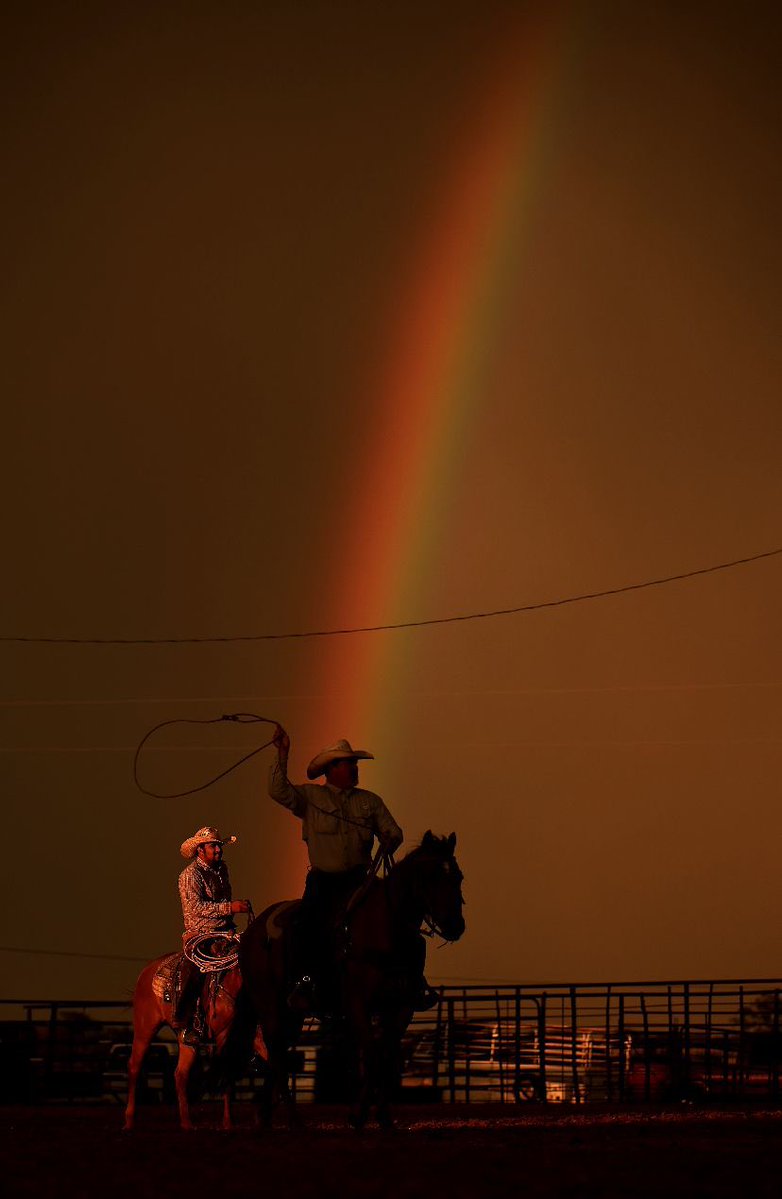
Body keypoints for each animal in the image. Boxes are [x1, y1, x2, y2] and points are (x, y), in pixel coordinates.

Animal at [122, 944, 266, 1131]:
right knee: (134, 1066)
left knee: (180, 1074)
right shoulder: (223, 1036)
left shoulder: (255, 1038)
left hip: (185, 1039)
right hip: (144, 1028)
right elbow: (226, 1075)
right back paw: (129, 1120)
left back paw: (187, 1123)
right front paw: (228, 1123)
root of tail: (147, 971)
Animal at [232, 829, 465, 1127]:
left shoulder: (402, 1007)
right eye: (432, 876)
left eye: (457, 876)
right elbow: (372, 1054)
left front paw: (381, 1117)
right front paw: (360, 1115)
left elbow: (386, 1058)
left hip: (292, 1014)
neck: (385, 929)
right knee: (276, 1052)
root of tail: (251, 932)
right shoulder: (357, 1003)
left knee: (278, 1054)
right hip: (269, 1005)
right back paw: (293, 1119)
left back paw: (263, 1115)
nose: (455, 925)